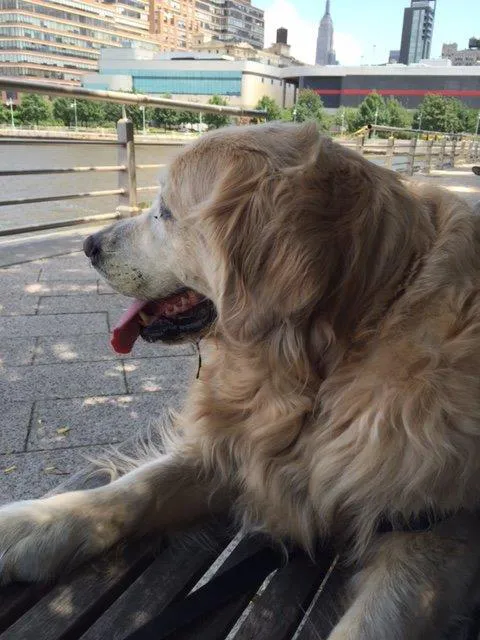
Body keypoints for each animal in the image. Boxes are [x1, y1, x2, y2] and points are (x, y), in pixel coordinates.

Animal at [2, 122, 480, 636]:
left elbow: (368, 626)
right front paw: (29, 526)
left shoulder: (434, 533)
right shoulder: (233, 446)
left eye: (165, 211)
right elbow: (136, 488)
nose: (89, 244)